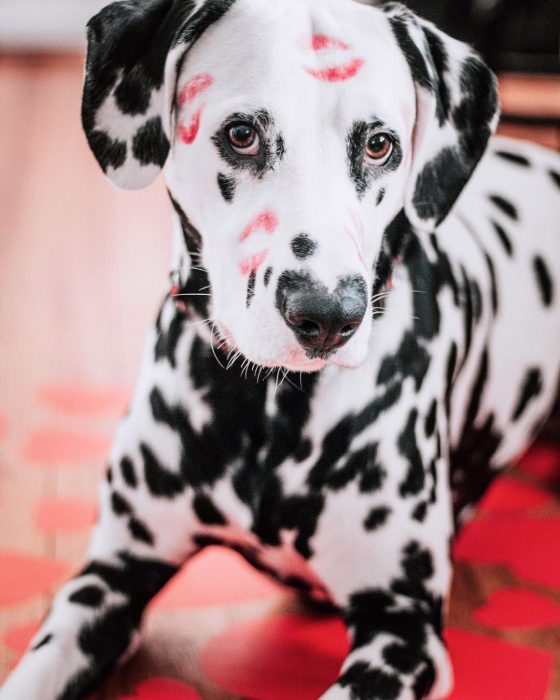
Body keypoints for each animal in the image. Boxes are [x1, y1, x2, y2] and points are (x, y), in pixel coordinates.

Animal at [1, 0, 560, 696]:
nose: (328, 314)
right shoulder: (110, 576)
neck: (268, 405)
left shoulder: (403, 633)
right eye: (242, 134)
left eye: (380, 144)